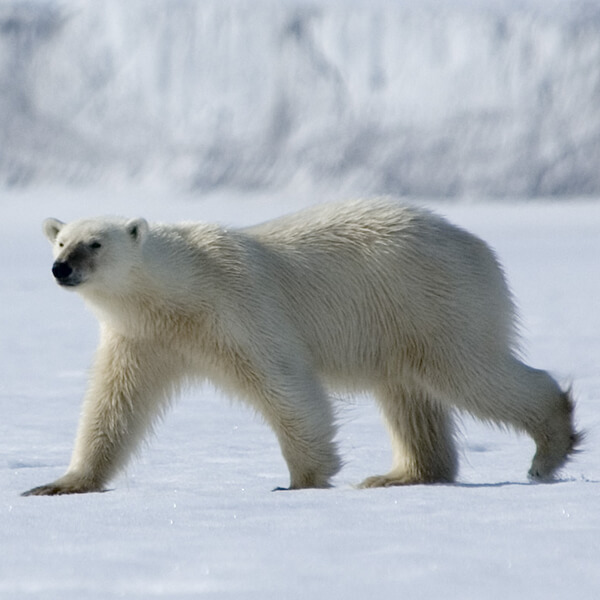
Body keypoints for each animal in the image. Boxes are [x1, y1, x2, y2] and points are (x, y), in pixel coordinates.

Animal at [21, 199, 580, 494]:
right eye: (60, 240)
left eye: (95, 243)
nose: (61, 268)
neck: (178, 292)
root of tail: (479, 245)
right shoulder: (142, 340)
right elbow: (113, 406)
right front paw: (58, 484)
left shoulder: (236, 309)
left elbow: (285, 385)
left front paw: (301, 481)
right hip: (402, 322)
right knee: (409, 395)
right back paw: (399, 475)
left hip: (434, 302)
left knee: (471, 372)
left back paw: (546, 453)